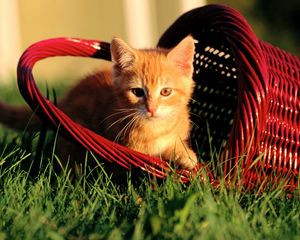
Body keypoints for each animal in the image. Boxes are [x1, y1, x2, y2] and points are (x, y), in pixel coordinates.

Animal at [0, 35, 197, 171]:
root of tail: (67, 97)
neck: (155, 129)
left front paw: (186, 155)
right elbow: (148, 155)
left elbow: (174, 144)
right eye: (137, 92)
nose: (151, 109)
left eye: (166, 92)